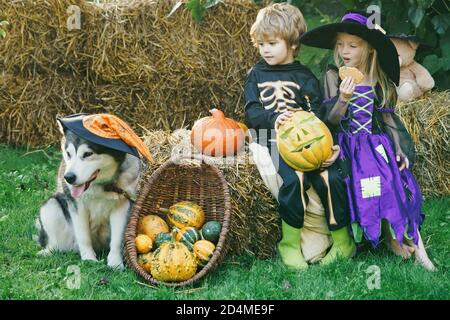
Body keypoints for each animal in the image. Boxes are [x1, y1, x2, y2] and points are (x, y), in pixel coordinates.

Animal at [35, 116, 142, 268]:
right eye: (68, 154)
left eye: (87, 154)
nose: (69, 177)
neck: (100, 185)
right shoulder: (77, 206)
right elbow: (83, 236)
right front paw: (89, 259)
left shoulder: (122, 205)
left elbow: (116, 240)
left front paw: (115, 263)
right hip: (51, 206)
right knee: (55, 244)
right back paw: (47, 252)